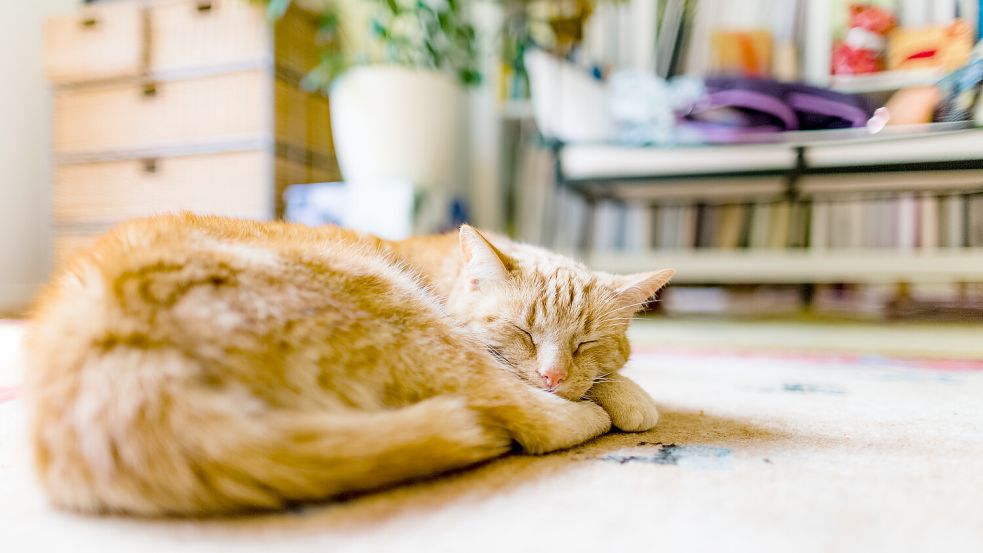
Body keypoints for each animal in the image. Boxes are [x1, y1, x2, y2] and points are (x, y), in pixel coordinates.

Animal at [26, 213, 616, 516]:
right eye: (522, 332)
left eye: (585, 343)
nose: (554, 375)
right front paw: (611, 398)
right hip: (397, 306)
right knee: (526, 416)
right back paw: (588, 417)